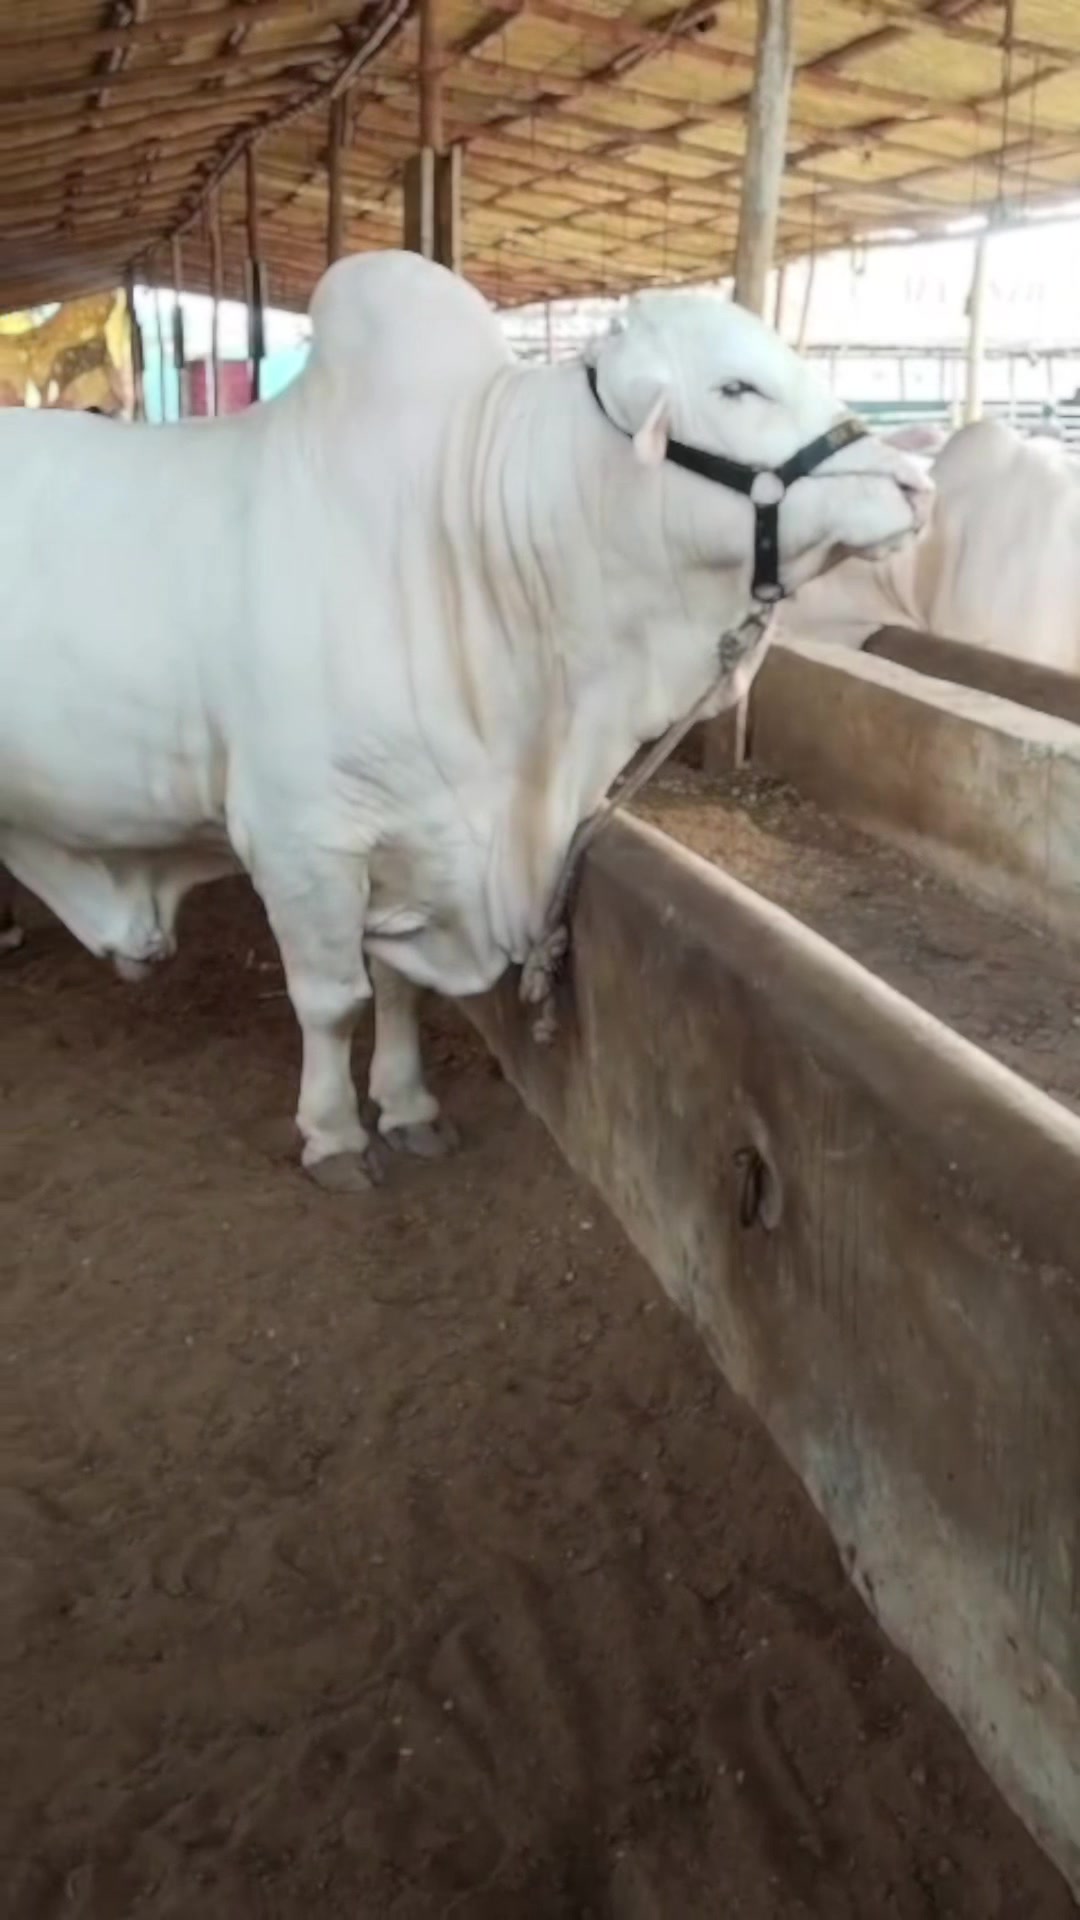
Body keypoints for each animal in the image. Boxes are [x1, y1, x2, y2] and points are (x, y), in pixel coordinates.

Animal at [0, 250, 930, 1191]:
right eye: (738, 387)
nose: (915, 484)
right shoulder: (302, 840)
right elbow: (333, 1001)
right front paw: (335, 1135)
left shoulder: (419, 839)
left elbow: (399, 987)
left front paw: (408, 1106)